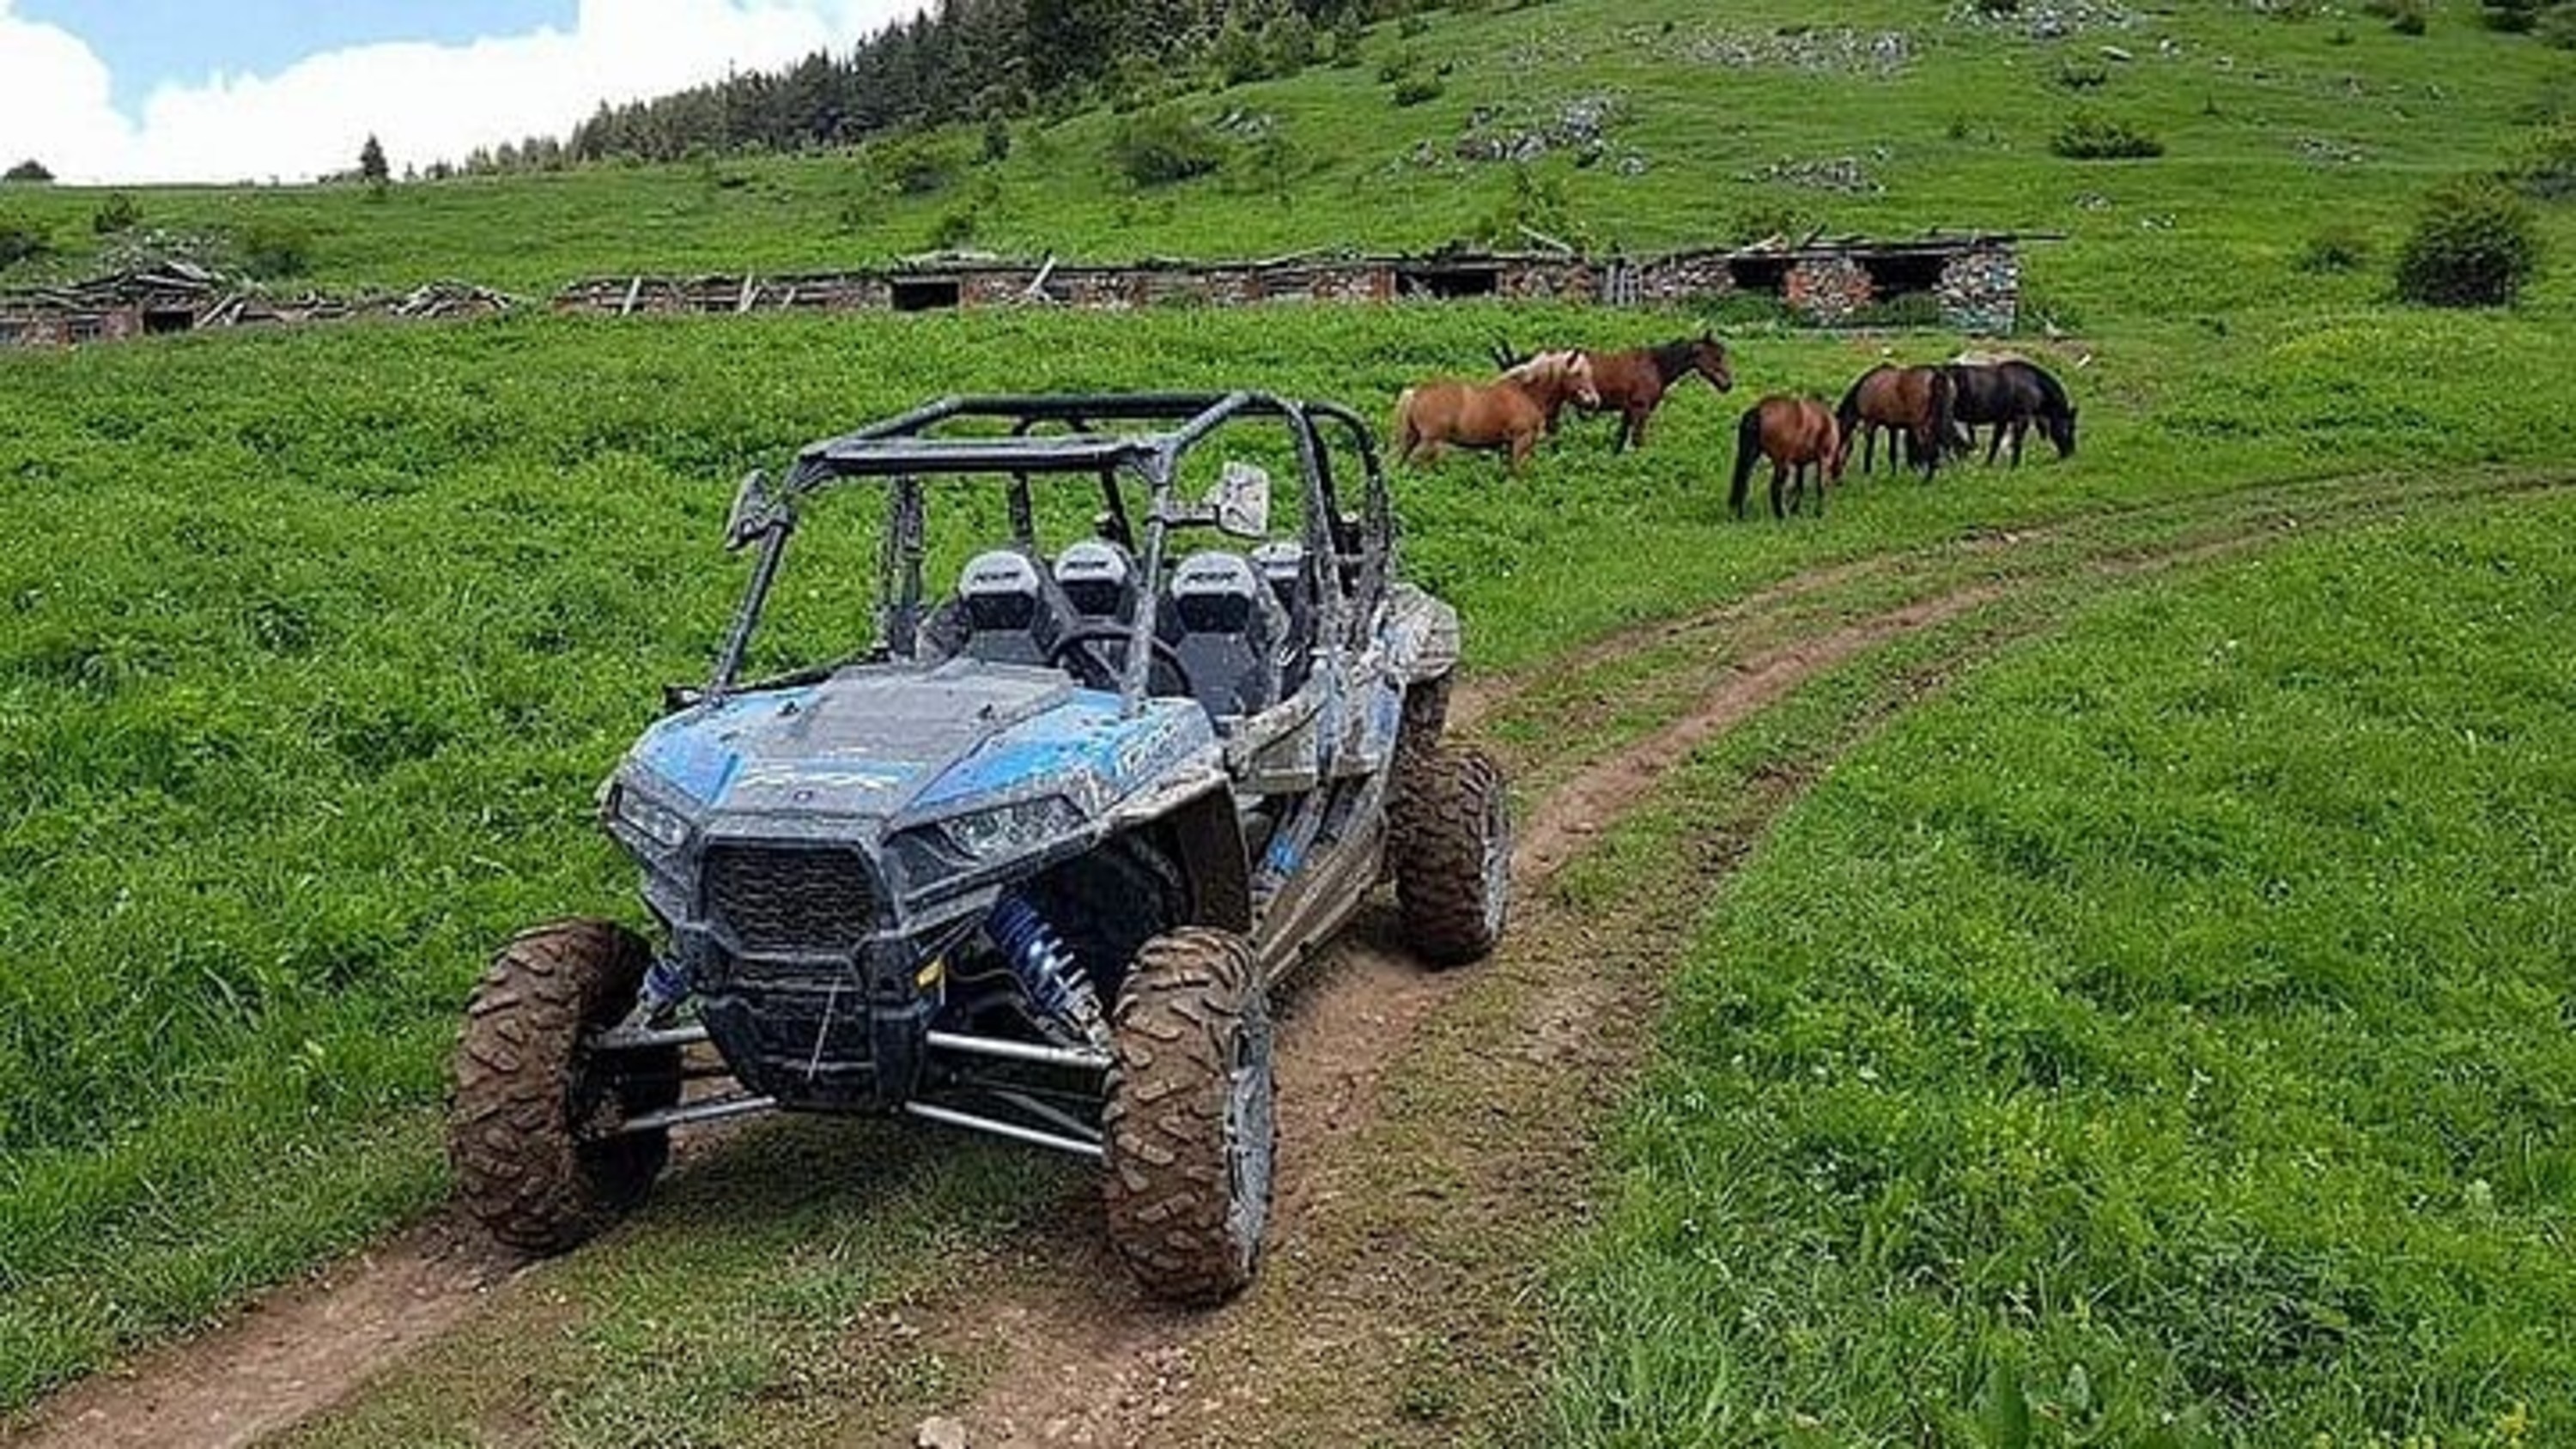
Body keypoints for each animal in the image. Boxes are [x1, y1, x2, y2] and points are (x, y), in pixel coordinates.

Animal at [1392, 351, 1599, 473]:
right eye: (1578, 373)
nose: (1594, 401)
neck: (1527, 394)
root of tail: (1415, 393)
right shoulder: (1521, 441)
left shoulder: (1508, 446)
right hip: (1430, 442)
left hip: (1413, 438)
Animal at [1489, 331, 1734, 451]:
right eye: (1715, 357)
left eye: (1722, 354)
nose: (1728, 385)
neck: (1655, 365)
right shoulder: (1641, 409)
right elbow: (1637, 441)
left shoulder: (1629, 409)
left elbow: (1620, 438)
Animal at [1730, 395, 1845, 520]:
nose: (1841, 482)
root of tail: (1758, 410)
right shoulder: (1824, 458)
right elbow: (1820, 487)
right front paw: (1819, 513)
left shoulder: (1800, 464)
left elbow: (1800, 487)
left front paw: (1796, 511)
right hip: (1781, 462)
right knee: (1775, 487)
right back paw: (1782, 515)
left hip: (1750, 457)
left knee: (1743, 482)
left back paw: (1741, 515)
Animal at [1835, 364, 1958, 479]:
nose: (1838, 475)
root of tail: (1936, 374)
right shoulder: (1893, 427)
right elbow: (1892, 452)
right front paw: (1893, 474)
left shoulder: (1870, 423)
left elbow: (1869, 448)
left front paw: (1867, 472)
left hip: (1920, 426)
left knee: (1929, 447)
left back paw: (1927, 479)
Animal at [1944, 358, 2078, 465]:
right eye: (2068, 428)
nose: (2071, 453)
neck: (2034, 383)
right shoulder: (2021, 418)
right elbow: (2017, 442)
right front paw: (2015, 465)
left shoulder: (2002, 420)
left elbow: (1995, 442)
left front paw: (1988, 464)